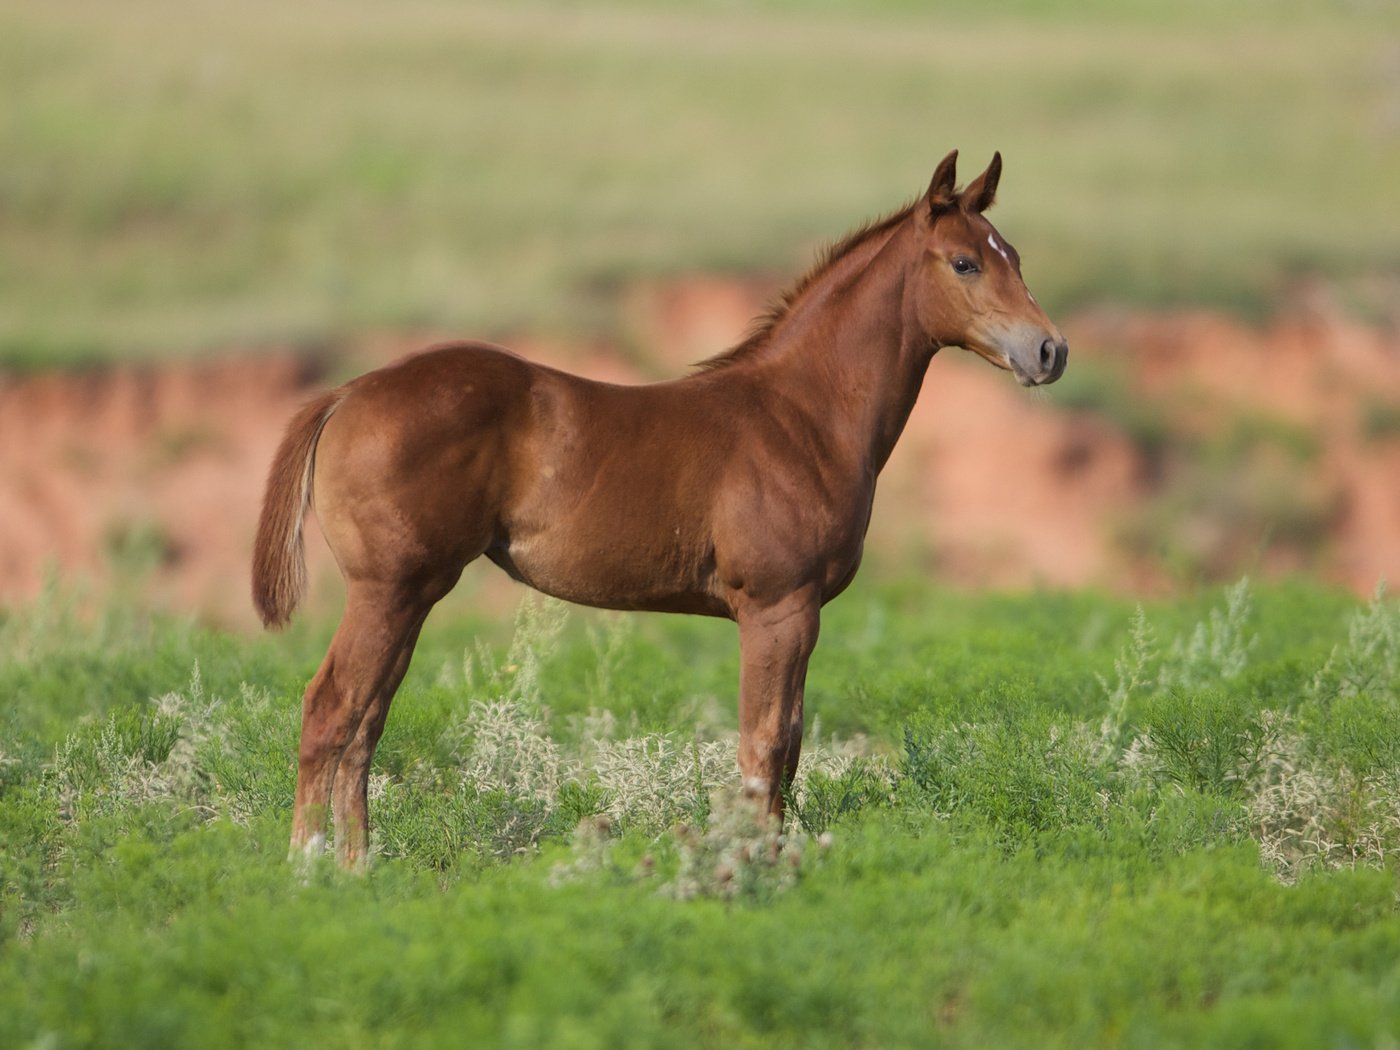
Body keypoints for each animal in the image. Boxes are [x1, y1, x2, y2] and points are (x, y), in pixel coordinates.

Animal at [254, 149, 1058, 873]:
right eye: (965, 263)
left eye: (1014, 256)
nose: (1051, 351)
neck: (800, 416)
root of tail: (347, 394)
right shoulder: (778, 607)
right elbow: (767, 743)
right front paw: (754, 866)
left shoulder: (797, 613)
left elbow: (789, 745)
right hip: (388, 589)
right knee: (330, 710)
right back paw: (308, 870)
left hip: (411, 594)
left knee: (366, 722)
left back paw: (360, 870)